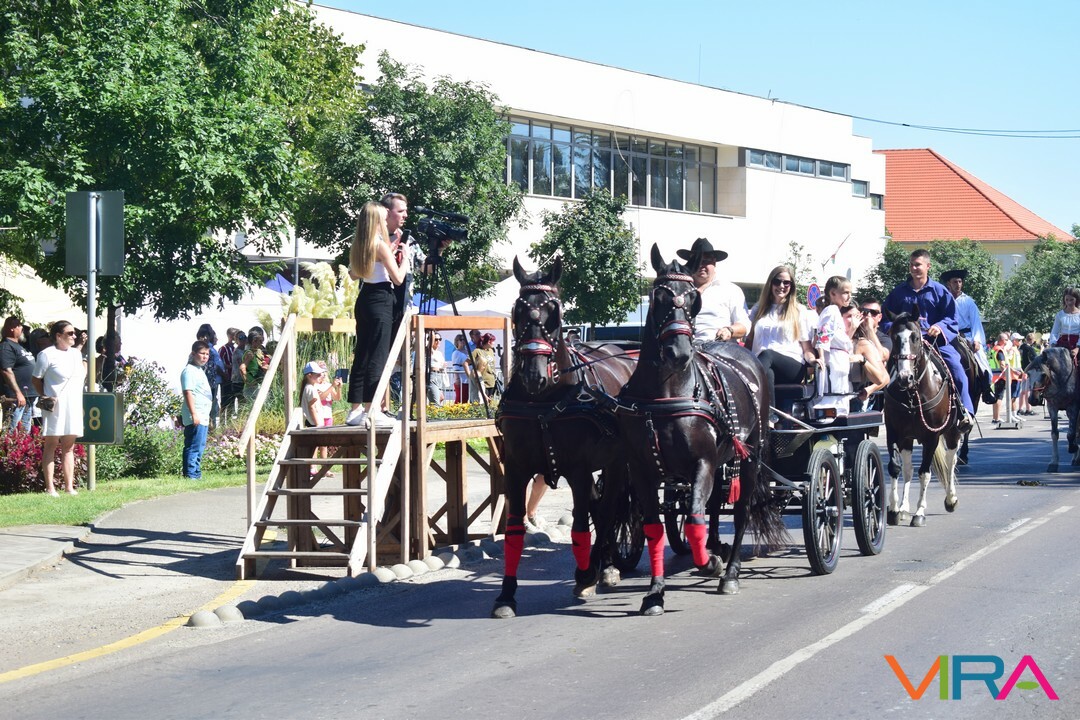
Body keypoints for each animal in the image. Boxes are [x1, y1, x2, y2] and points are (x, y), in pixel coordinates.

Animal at [492, 257, 638, 618]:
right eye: (518, 310)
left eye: (554, 311)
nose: (534, 375)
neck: (543, 401)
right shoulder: (516, 469)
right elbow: (514, 531)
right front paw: (506, 596)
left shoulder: (578, 469)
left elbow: (580, 526)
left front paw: (585, 575)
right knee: (602, 508)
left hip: (617, 463)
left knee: (609, 508)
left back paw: (602, 567)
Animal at [616, 244, 786, 616]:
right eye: (659, 296)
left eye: (693, 298)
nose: (678, 352)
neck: (666, 393)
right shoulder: (642, 470)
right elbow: (655, 528)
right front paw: (655, 592)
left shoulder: (702, 463)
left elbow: (693, 520)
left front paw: (710, 563)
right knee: (714, 508)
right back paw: (716, 547)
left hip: (749, 458)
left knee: (740, 511)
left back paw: (730, 569)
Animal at [883, 313, 961, 527]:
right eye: (894, 337)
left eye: (915, 338)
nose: (904, 377)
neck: (912, 393)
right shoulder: (894, 432)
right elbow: (895, 468)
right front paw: (894, 509)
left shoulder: (931, 437)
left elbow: (925, 473)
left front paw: (919, 512)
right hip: (908, 439)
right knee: (908, 469)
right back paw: (903, 507)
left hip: (952, 432)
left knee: (951, 459)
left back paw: (951, 499)